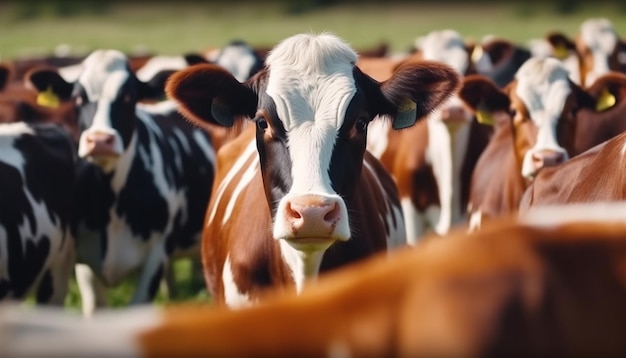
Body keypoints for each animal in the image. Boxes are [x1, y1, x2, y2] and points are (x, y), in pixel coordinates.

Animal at [25, 49, 216, 314]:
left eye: (128, 96)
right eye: (78, 98)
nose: (100, 140)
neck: (111, 201)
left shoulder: (155, 257)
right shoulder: (83, 260)